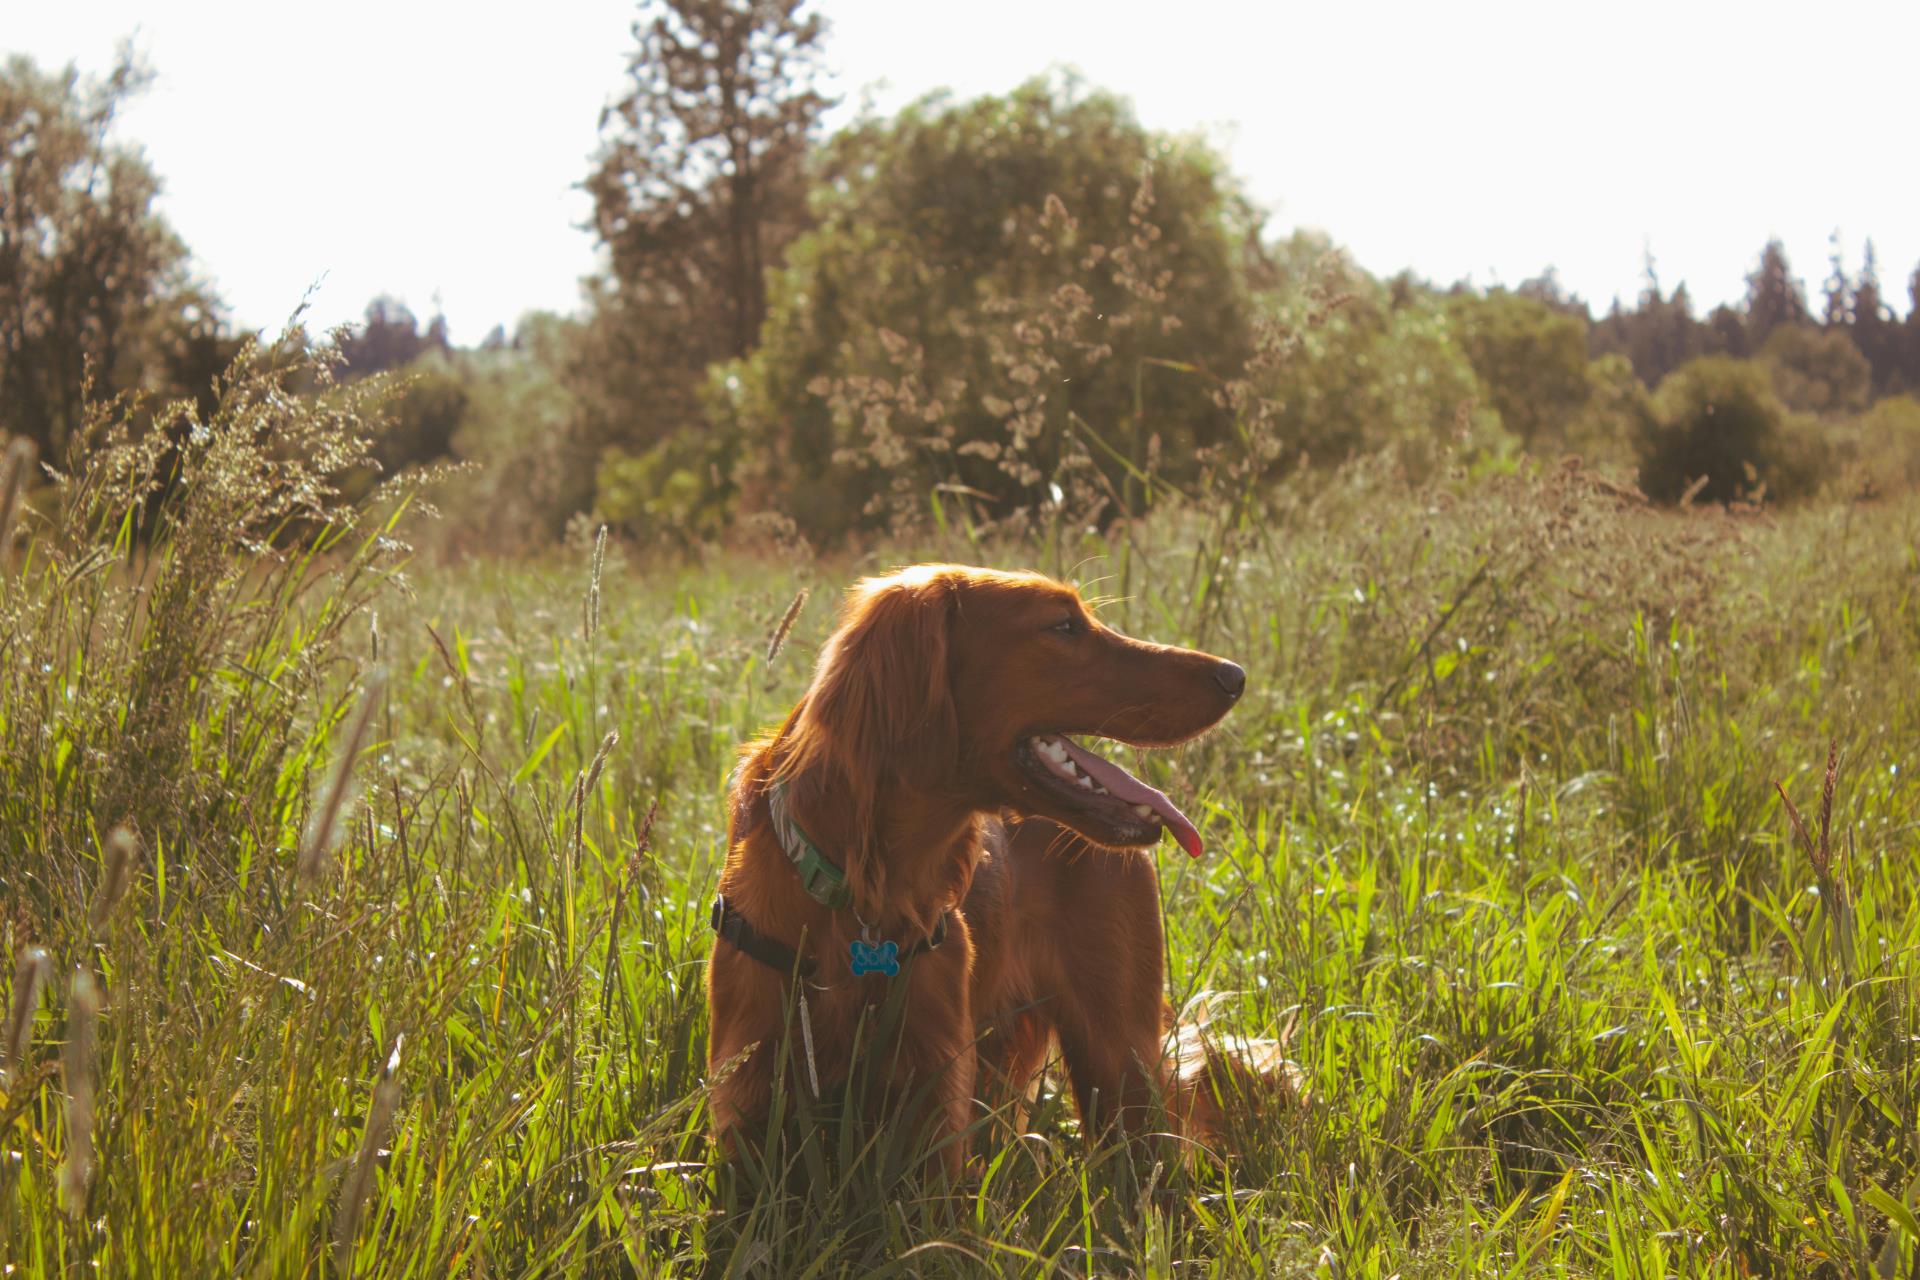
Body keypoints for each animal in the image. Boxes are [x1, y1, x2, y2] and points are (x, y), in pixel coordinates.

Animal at [706, 564, 1244, 1174]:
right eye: (1063, 625)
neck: (864, 890)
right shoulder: (747, 1096)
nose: (1235, 675)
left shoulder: (934, 1103)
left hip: (1121, 1062)